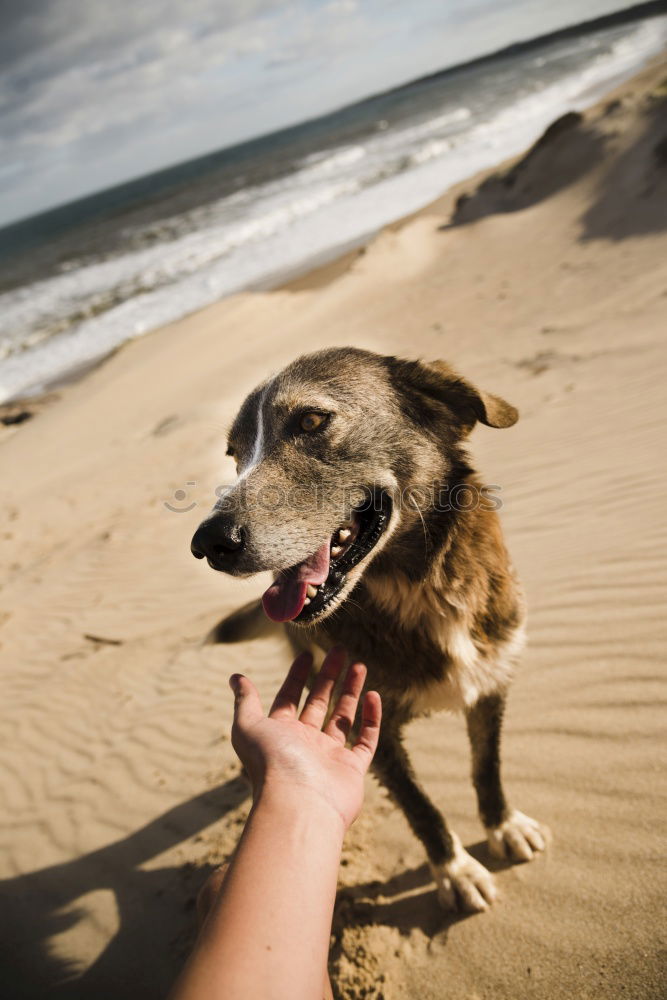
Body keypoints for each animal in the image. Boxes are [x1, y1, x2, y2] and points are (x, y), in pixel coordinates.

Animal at [193, 348, 548, 912]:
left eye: (311, 421)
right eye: (234, 454)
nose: (207, 542)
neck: (421, 586)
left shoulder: (490, 686)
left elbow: (486, 769)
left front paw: (502, 826)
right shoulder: (367, 719)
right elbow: (420, 805)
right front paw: (454, 870)